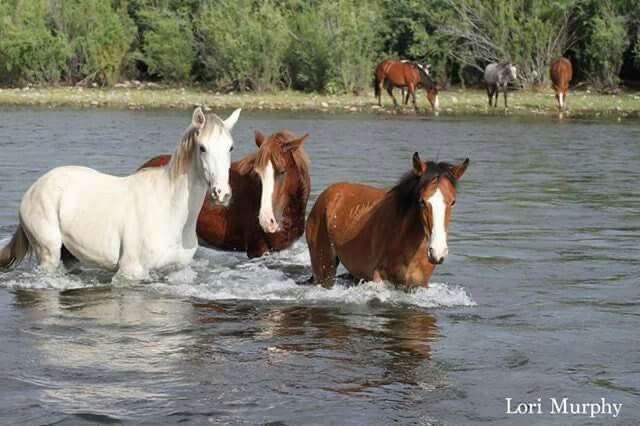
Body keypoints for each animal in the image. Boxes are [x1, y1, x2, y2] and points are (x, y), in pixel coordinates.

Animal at [0, 107, 241, 280]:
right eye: (202, 148)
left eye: (230, 147)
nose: (221, 194)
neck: (169, 212)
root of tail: (34, 189)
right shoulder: (131, 271)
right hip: (48, 254)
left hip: (70, 255)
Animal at [305, 152, 469, 289]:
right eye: (421, 201)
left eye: (453, 201)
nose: (437, 253)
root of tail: (327, 195)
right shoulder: (380, 278)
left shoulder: (419, 285)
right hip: (325, 269)